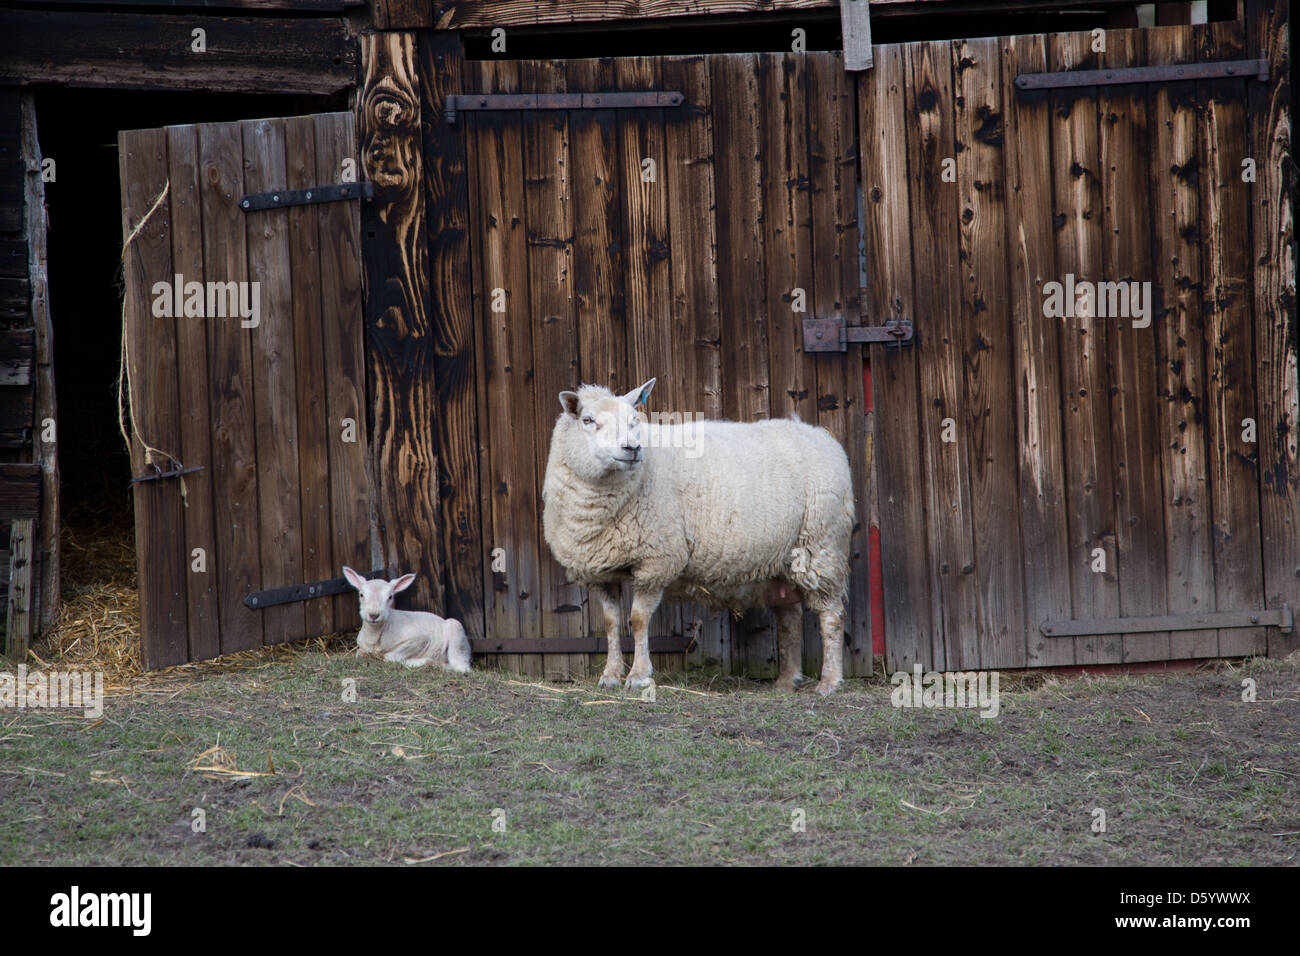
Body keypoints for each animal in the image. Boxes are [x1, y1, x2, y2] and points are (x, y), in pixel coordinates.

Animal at [342, 567, 472, 673]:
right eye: (361, 595)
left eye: (390, 597)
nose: (374, 615)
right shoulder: (361, 646)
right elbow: (359, 654)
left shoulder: (419, 639)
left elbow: (389, 657)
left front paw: (412, 661)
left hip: (457, 633)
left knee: (461, 668)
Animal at [542, 378, 855, 696]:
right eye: (587, 420)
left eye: (634, 421)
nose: (632, 448)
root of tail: (821, 435)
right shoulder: (600, 571)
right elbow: (610, 622)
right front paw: (610, 675)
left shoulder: (657, 560)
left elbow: (638, 620)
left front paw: (639, 676)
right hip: (784, 558)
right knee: (789, 616)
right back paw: (786, 681)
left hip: (822, 545)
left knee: (832, 615)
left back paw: (829, 681)